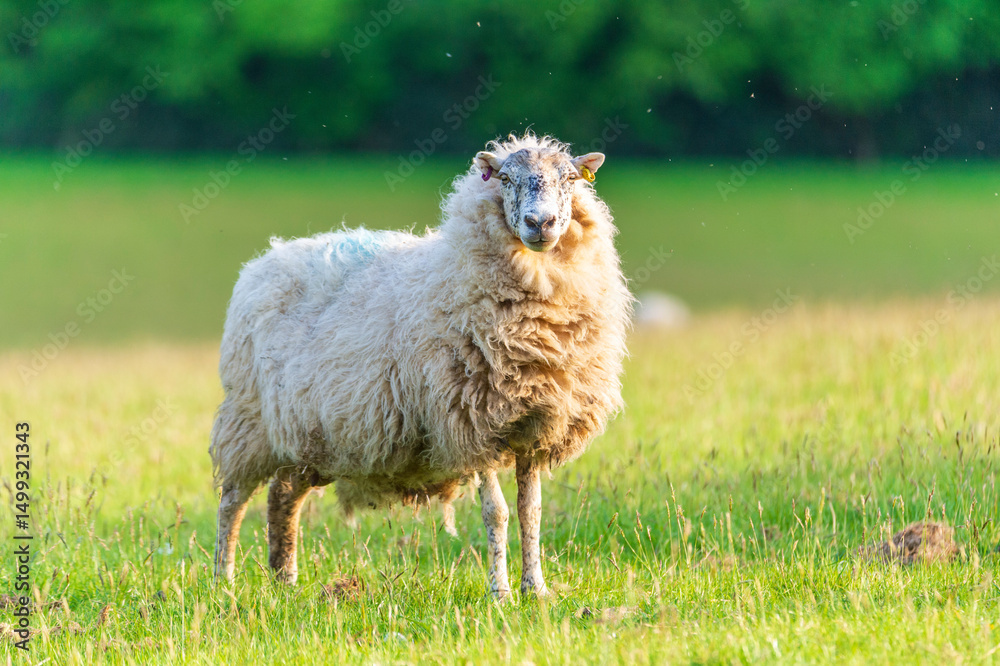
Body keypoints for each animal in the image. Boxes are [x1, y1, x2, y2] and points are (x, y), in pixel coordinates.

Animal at [210, 133, 632, 598]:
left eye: (570, 179)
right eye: (505, 178)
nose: (541, 223)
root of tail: (266, 258)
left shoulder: (534, 427)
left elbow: (531, 511)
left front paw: (535, 590)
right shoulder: (471, 422)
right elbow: (498, 513)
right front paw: (500, 593)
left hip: (306, 436)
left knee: (283, 496)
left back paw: (285, 581)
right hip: (247, 422)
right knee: (232, 501)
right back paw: (223, 580)